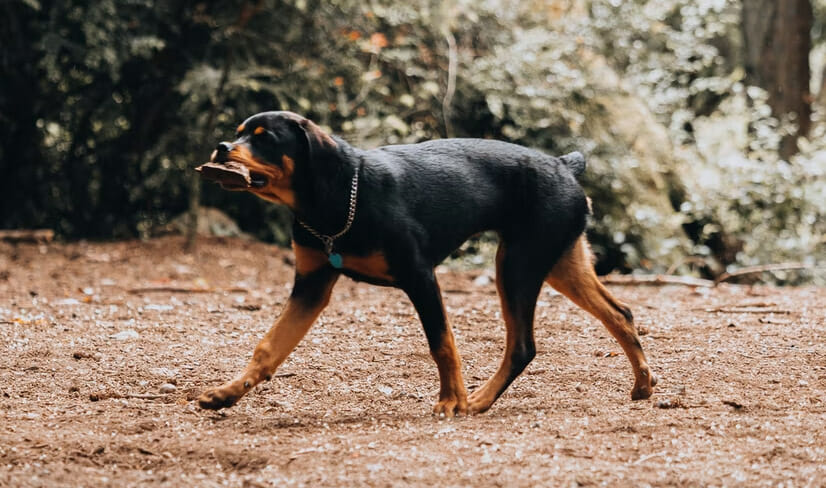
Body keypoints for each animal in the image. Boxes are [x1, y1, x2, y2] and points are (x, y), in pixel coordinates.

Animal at [195, 110, 656, 416]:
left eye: (265, 138)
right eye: (238, 133)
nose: (221, 147)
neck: (337, 197)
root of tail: (564, 165)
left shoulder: (420, 277)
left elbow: (442, 343)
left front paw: (451, 400)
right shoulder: (311, 284)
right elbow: (268, 348)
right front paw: (226, 393)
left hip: (518, 265)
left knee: (523, 344)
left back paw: (476, 400)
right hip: (560, 263)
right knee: (621, 313)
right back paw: (642, 385)